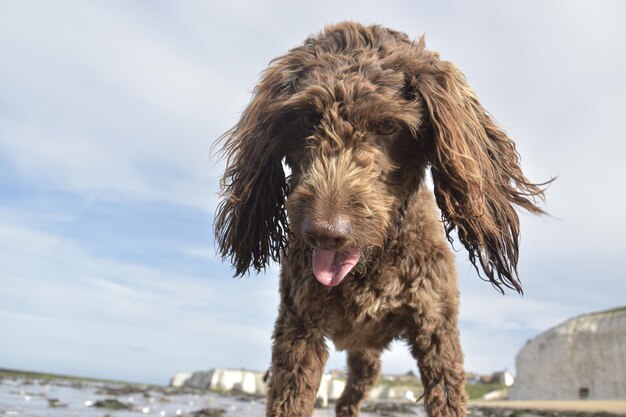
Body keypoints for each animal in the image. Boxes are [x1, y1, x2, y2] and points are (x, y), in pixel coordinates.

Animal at [212, 22, 544, 416]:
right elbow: (288, 399)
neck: (368, 270)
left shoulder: (437, 330)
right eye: (307, 118)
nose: (325, 234)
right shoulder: (299, 330)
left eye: (388, 126)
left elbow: (448, 397)